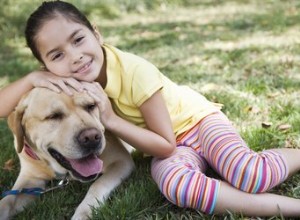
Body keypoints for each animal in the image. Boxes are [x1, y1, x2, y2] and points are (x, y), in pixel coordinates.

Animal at [0, 87, 134, 218]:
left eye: (90, 106)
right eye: (53, 116)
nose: (92, 137)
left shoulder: (121, 161)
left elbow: (98, 184)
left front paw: (84, 212)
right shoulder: (30, 179)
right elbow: (7, 201)